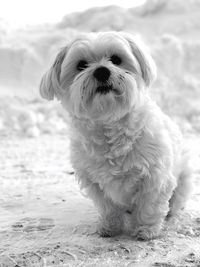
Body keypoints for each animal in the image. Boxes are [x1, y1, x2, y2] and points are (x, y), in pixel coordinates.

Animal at [39, 31, 192, 241]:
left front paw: (146, 229)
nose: (101, 71)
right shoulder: (94, 182)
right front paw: (110, 227)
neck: (109, 123)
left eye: (116, 59)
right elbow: (108, 207)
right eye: (81, 65)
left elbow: (149, 205)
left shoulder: (155, 176)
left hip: (183, 179)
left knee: (176, 203)